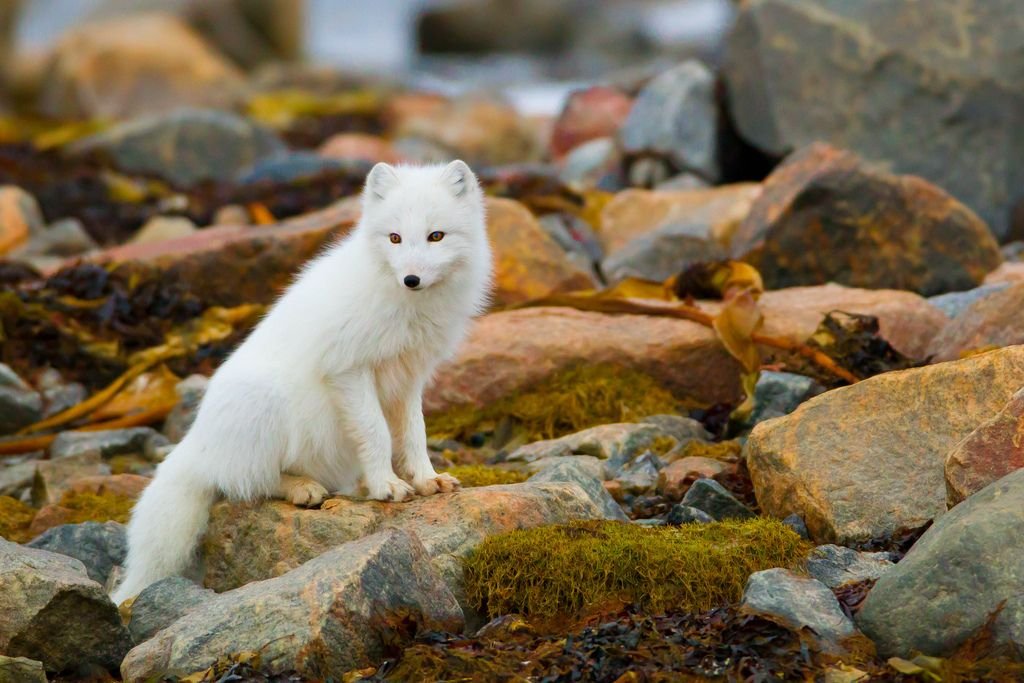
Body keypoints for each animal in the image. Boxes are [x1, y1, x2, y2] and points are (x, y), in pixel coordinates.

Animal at [111, 160, 491, 602]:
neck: (406, 305)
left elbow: (415, 433)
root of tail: (198, 444)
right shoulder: (349, 368)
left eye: (436, 236)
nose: (410, 279)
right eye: (395, 238)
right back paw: (301, 488)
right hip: (266, 405)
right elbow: (376, 433)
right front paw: (386, 485)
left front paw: (427, 479)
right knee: (245, 483)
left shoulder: (409, 377)